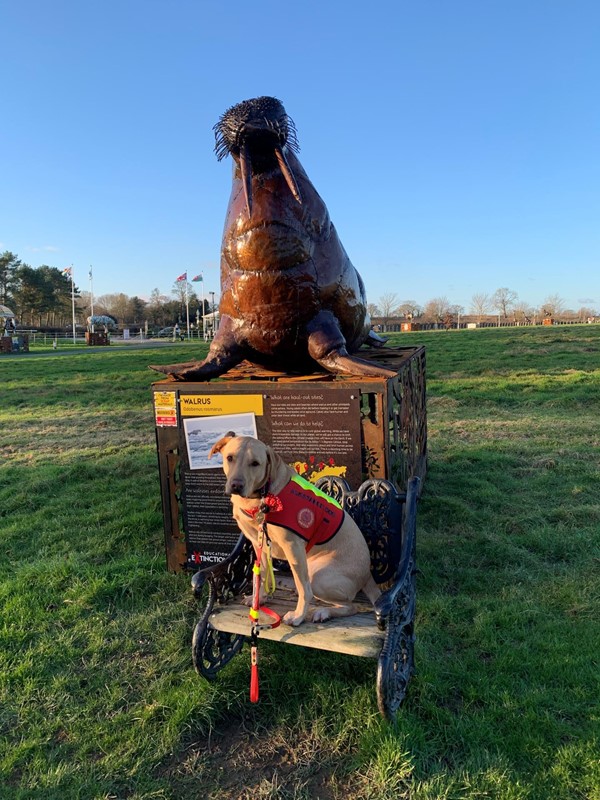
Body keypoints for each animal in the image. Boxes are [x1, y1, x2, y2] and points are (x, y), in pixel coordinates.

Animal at [209, 432, 380, 624]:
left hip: (317, 576)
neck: (260, 497)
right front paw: (260, 599)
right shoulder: (258, 543)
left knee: (350, 606)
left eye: (255, 463)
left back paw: (323, 612)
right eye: (230, 458)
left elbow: (303, 588)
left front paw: (298, 616)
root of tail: (368, 575)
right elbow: (261, 574)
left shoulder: (293, 547)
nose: (236, 485)